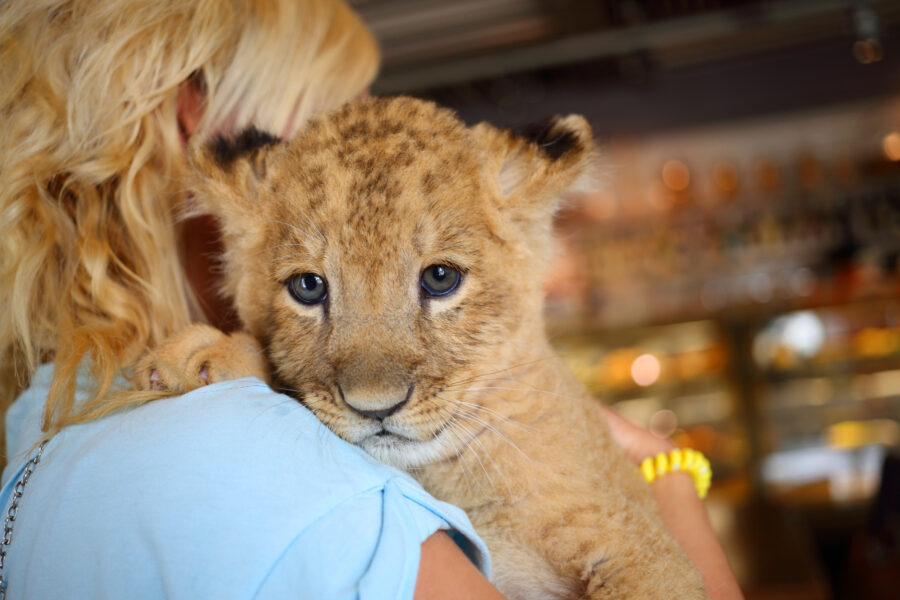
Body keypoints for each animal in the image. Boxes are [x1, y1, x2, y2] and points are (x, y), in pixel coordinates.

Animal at [136, 96, 708, 599]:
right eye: (308, 287)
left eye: (440, 278)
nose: (376, 408)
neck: (445, 473)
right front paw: (201, 357)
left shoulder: (642, 550)